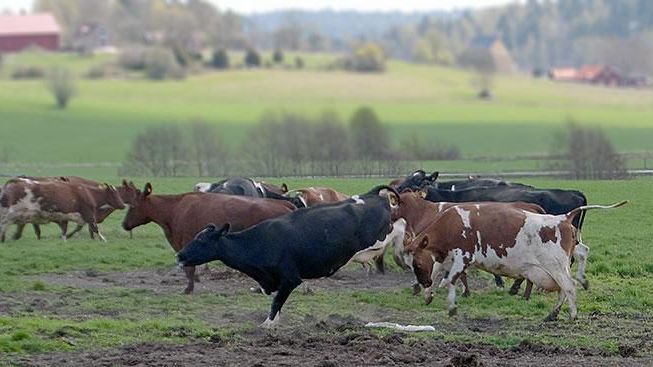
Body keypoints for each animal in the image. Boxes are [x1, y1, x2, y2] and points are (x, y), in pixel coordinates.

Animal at [120, 183, 296, 294]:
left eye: (133, 206)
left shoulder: (185, 241)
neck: (174, 209)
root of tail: (284, 204)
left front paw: (188, 289)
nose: (124, 224)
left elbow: (189, 268)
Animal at [176, 187, 400, 328]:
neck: (260, 242)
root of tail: (371, 195)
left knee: (393, 234)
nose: (179, 255)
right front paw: (275, 322)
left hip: (379, 236)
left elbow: (276, 302)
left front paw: (267, 324)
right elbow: (278, 304)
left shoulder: (291, 279)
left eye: (201, 240)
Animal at [394, 191, 544, 300]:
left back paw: (522, 292)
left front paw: (464, 291)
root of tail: (532, 206)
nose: (424, 282)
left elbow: (459, 273)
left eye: (418, 264)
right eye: (410, 265)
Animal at [404, 200, 624, 320]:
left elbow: (449, 280)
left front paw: (450, 306)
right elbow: (440, 274)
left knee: (569, 287)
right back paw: (553, 314)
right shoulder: (445, 258)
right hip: (558, 268)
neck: (450, 224)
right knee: (564, 286)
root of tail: (563, 217)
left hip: (556, 266)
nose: (423, 282)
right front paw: (429, 295)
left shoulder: (462, 256)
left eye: (417, 263)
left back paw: (571, 315)